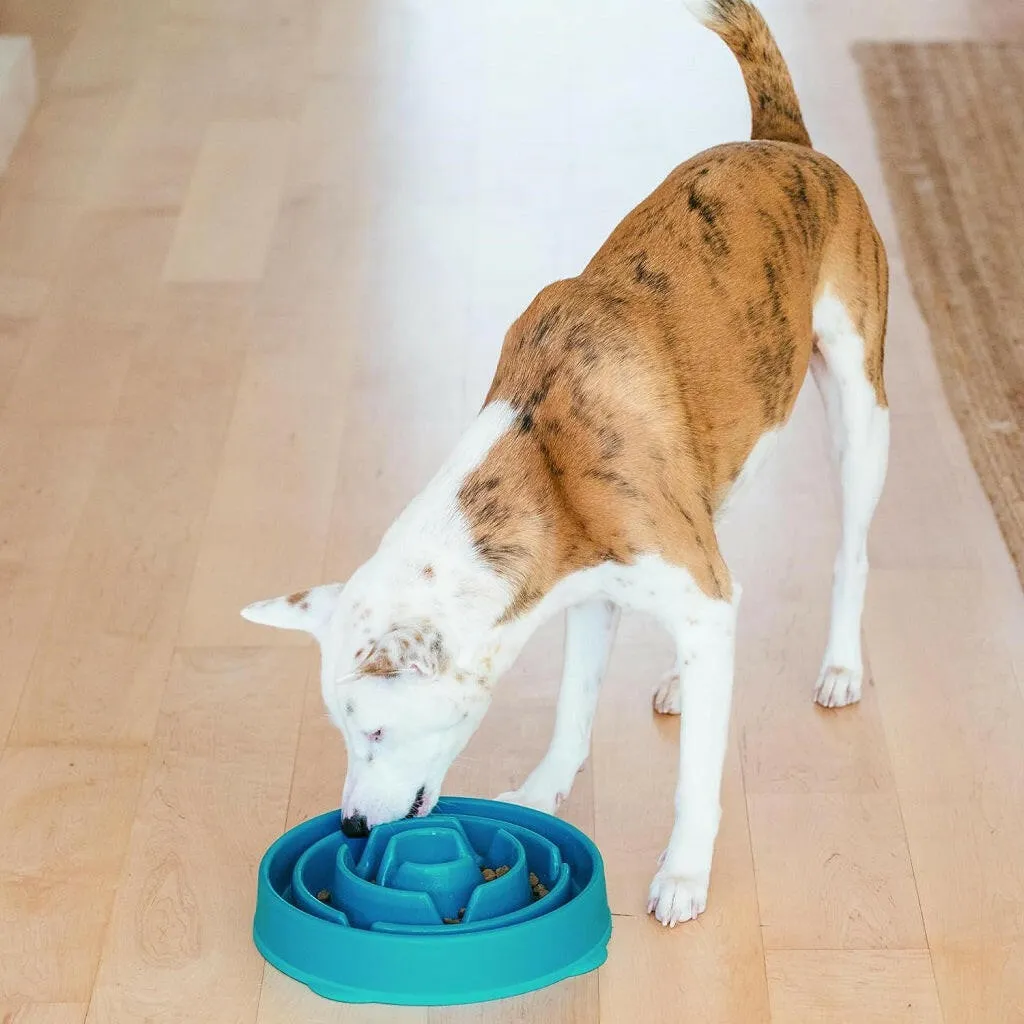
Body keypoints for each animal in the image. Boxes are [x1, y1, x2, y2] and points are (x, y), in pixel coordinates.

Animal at [241, 0, 888, 929]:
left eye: (376, 730)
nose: (356, 827)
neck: (543, 457)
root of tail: (783, 142)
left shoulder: (662, 574)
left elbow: (696, 777)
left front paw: (683, 873)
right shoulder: (596, 593)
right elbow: (575, 707)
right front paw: (543, 792)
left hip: (860, 408)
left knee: (850, 553)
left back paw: (839, 667)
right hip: (720, 471)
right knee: (730, 584)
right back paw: (689, 681)